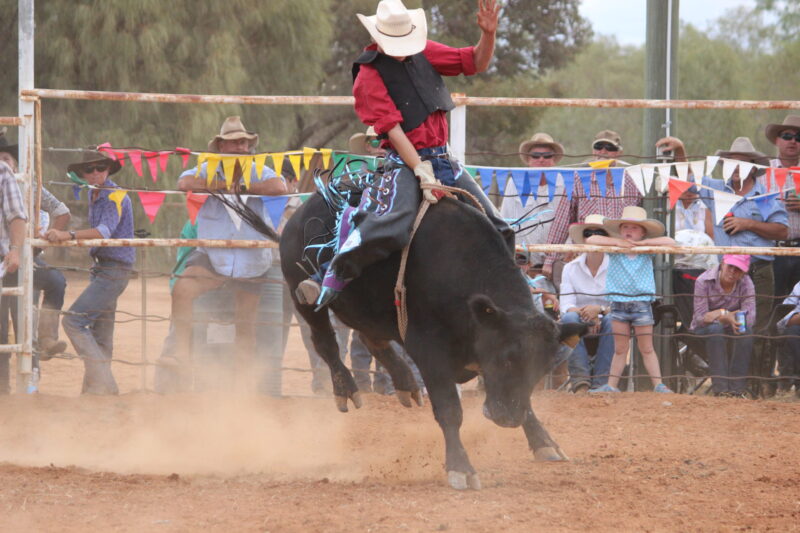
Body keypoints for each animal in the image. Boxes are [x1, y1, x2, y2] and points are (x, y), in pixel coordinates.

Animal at [234, 192, 584, 490]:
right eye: (504, 357)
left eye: (541, 369)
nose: (507, 418)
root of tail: (297, 216)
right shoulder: (429, 351)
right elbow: (449, 409)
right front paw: (461, 468)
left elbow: (526, 404)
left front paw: (545, 443)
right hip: (304, 297)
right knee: (325, 342)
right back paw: (346, 388)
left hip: (365, 310)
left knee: (371, 339)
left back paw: (404, 382)